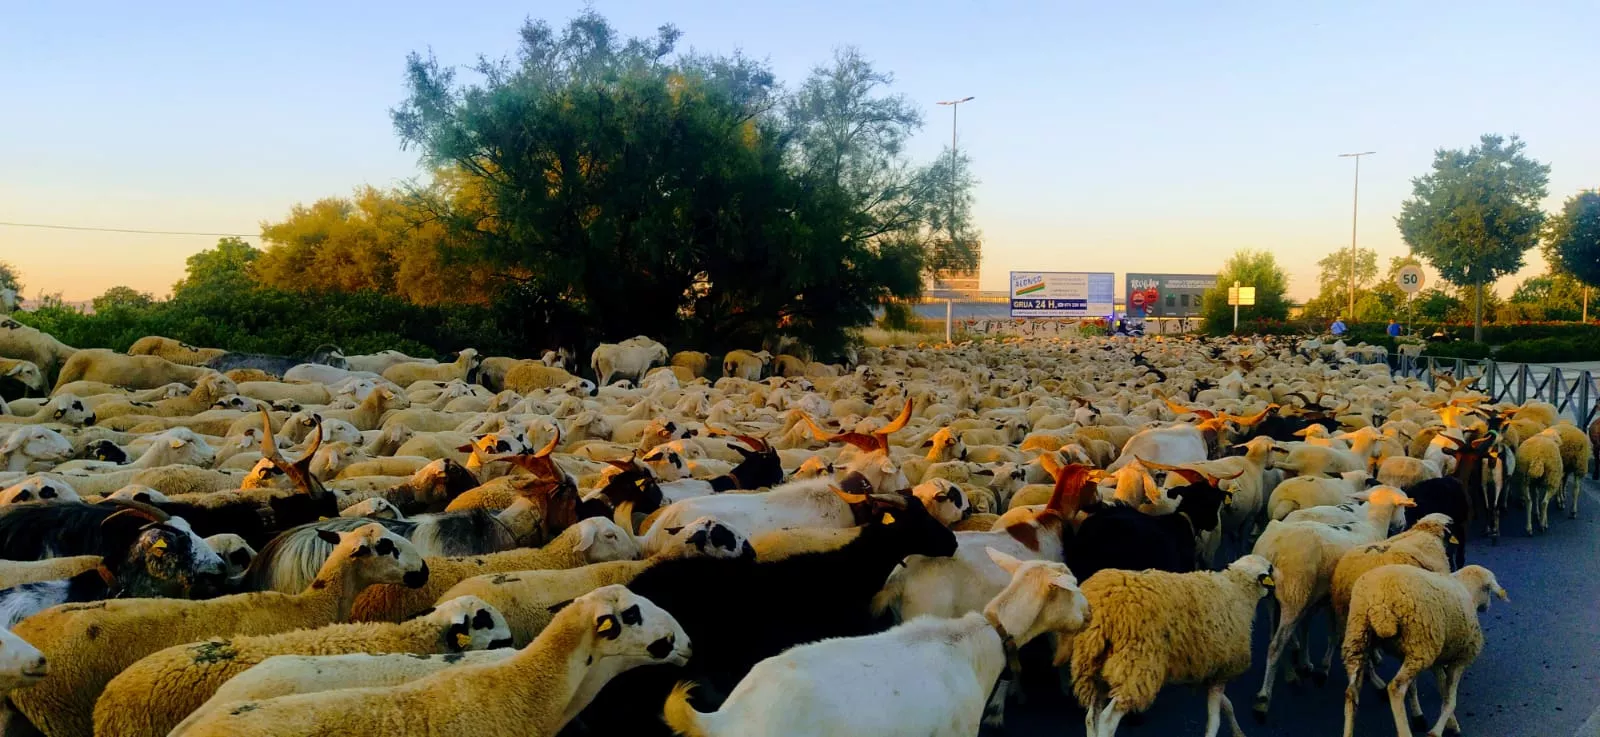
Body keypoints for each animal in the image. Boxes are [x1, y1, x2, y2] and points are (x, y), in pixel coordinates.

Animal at [1070, 555, 1277, 737]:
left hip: (1093, 669)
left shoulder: (1207, 673)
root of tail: (1104, 610)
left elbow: (1227, 706)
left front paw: (1238, 732)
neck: (1238, 589)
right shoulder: (1222, 672)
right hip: (1135, 667)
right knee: (1107, 721)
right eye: (1271, 569)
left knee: (1091, 718)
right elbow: (1214, 721)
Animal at [1340, 565, 1508, 737]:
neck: (1467, 588)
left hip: (1358, 637)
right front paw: (1437, 731)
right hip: (1421, 647)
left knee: (1351, 692)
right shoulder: (1459, 660)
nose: (1487, 607)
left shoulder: (1435, 660)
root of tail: (1378, 601)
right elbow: (1451, 700)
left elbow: (1442, 691)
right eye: (1488, 589)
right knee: (1396, 688)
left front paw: (1450, 723)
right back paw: (1405, 732)